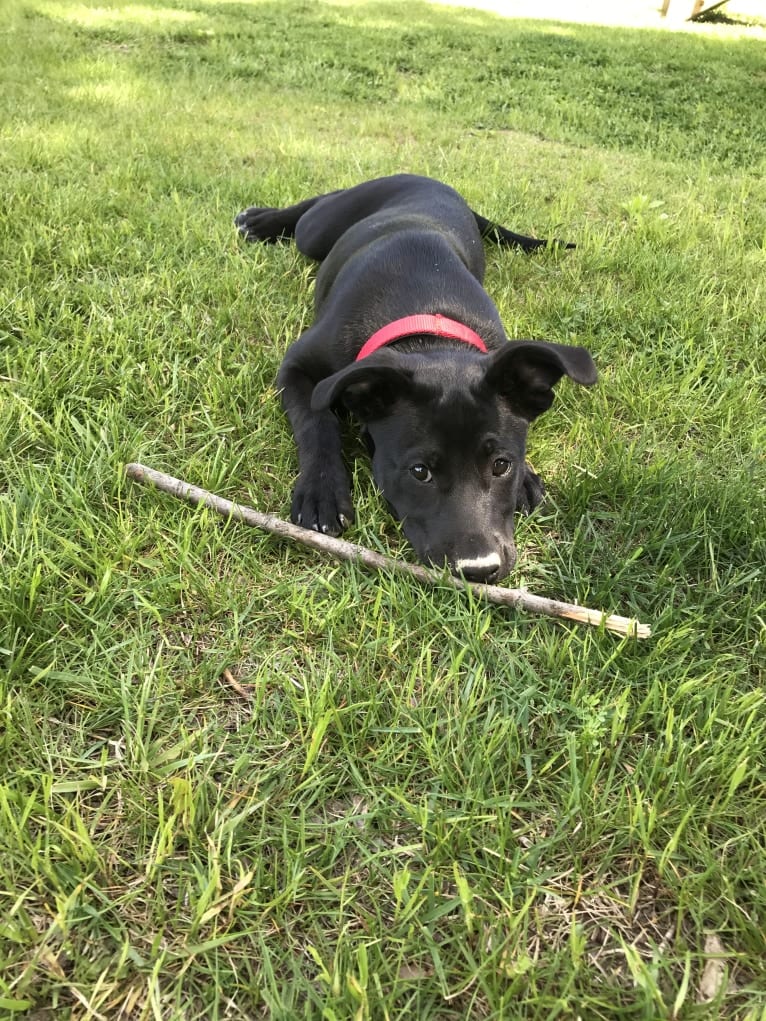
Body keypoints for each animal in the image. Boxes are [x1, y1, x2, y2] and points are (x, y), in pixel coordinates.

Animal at [236, 175, 596, 584]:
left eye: (502, 465)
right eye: (419, 472)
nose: (479, 569)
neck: (426, 321)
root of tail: (425, 178)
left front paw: (528, 479)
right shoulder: (296, 366)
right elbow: (316, 421)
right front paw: (321, 491)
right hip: (318, 228)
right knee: (316, 205)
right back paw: (259, 221)